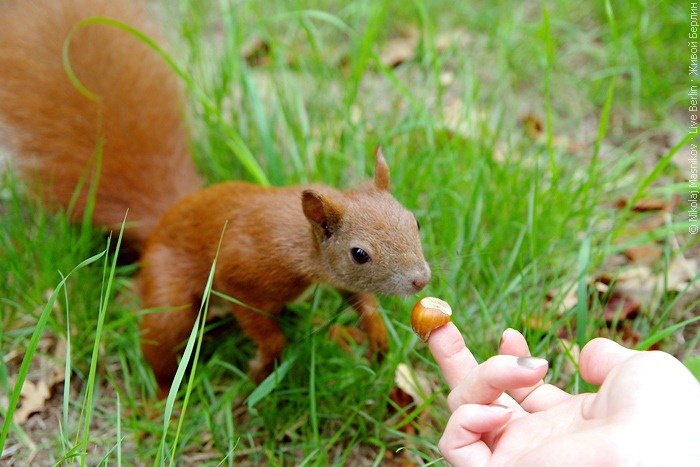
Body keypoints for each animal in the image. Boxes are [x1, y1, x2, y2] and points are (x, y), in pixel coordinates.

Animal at [0, 0, 431, 392]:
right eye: (359, 254)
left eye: (414, 221)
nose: (422, 279)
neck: (302, 244)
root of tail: (165, 216)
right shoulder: (240, 271)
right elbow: (263, 327)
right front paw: (262, 365)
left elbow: (357, 296)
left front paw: (376, 333)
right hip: (169, 293)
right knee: (160, 341)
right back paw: (161, 403)